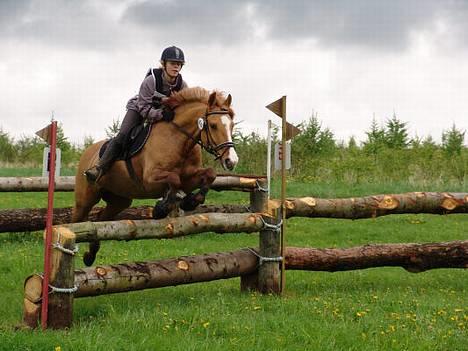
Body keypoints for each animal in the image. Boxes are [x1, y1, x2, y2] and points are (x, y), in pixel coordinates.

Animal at [72, 87, 238, 266]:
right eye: (213, 125)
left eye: (232, 125)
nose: (231, 161)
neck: (178, 139)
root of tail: (88, 151)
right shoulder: (150, 179)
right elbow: (174, 179)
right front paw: (161, 208)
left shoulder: (189, 178)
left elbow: (209, 174)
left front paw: (190, 201)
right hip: (86, 198)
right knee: (77, 220)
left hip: (119, 200)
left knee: (100, 220)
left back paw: (90, 255)